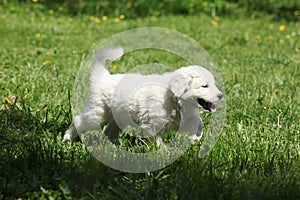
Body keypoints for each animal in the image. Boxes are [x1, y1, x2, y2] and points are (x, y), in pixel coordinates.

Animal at [63, 47, 223, 145]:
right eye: (204, 86)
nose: (221, 95)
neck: (172, 97)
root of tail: (103, 77)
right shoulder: (152, 122)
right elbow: (156, 139)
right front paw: (162, 151)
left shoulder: (182, 119)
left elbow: (197, 121)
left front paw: (195, 138)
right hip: (97, 114)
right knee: (78, 121)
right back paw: (66, 139)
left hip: (118, 117)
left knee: (110, 131)